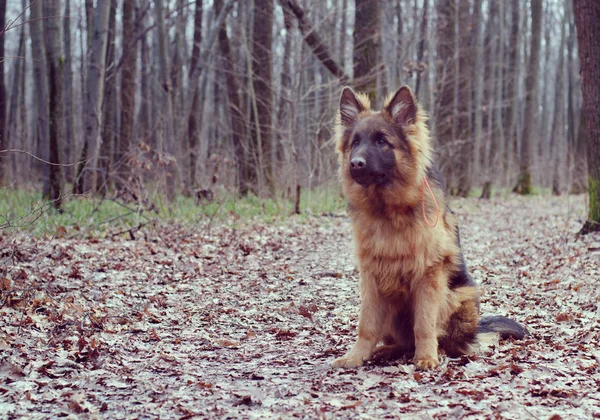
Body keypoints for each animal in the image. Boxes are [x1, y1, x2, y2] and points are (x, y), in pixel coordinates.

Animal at [330, 87, 528, 370]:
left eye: (382, 141)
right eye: (355, 142)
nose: (355, 163)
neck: (389, 212)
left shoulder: (428, 275)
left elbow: (424, 324)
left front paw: (426, 358)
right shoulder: (371, 275)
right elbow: (366, 324)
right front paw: (356, 356)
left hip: (458, 296)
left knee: (447, 340)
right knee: (402, 341)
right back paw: (385, 350)